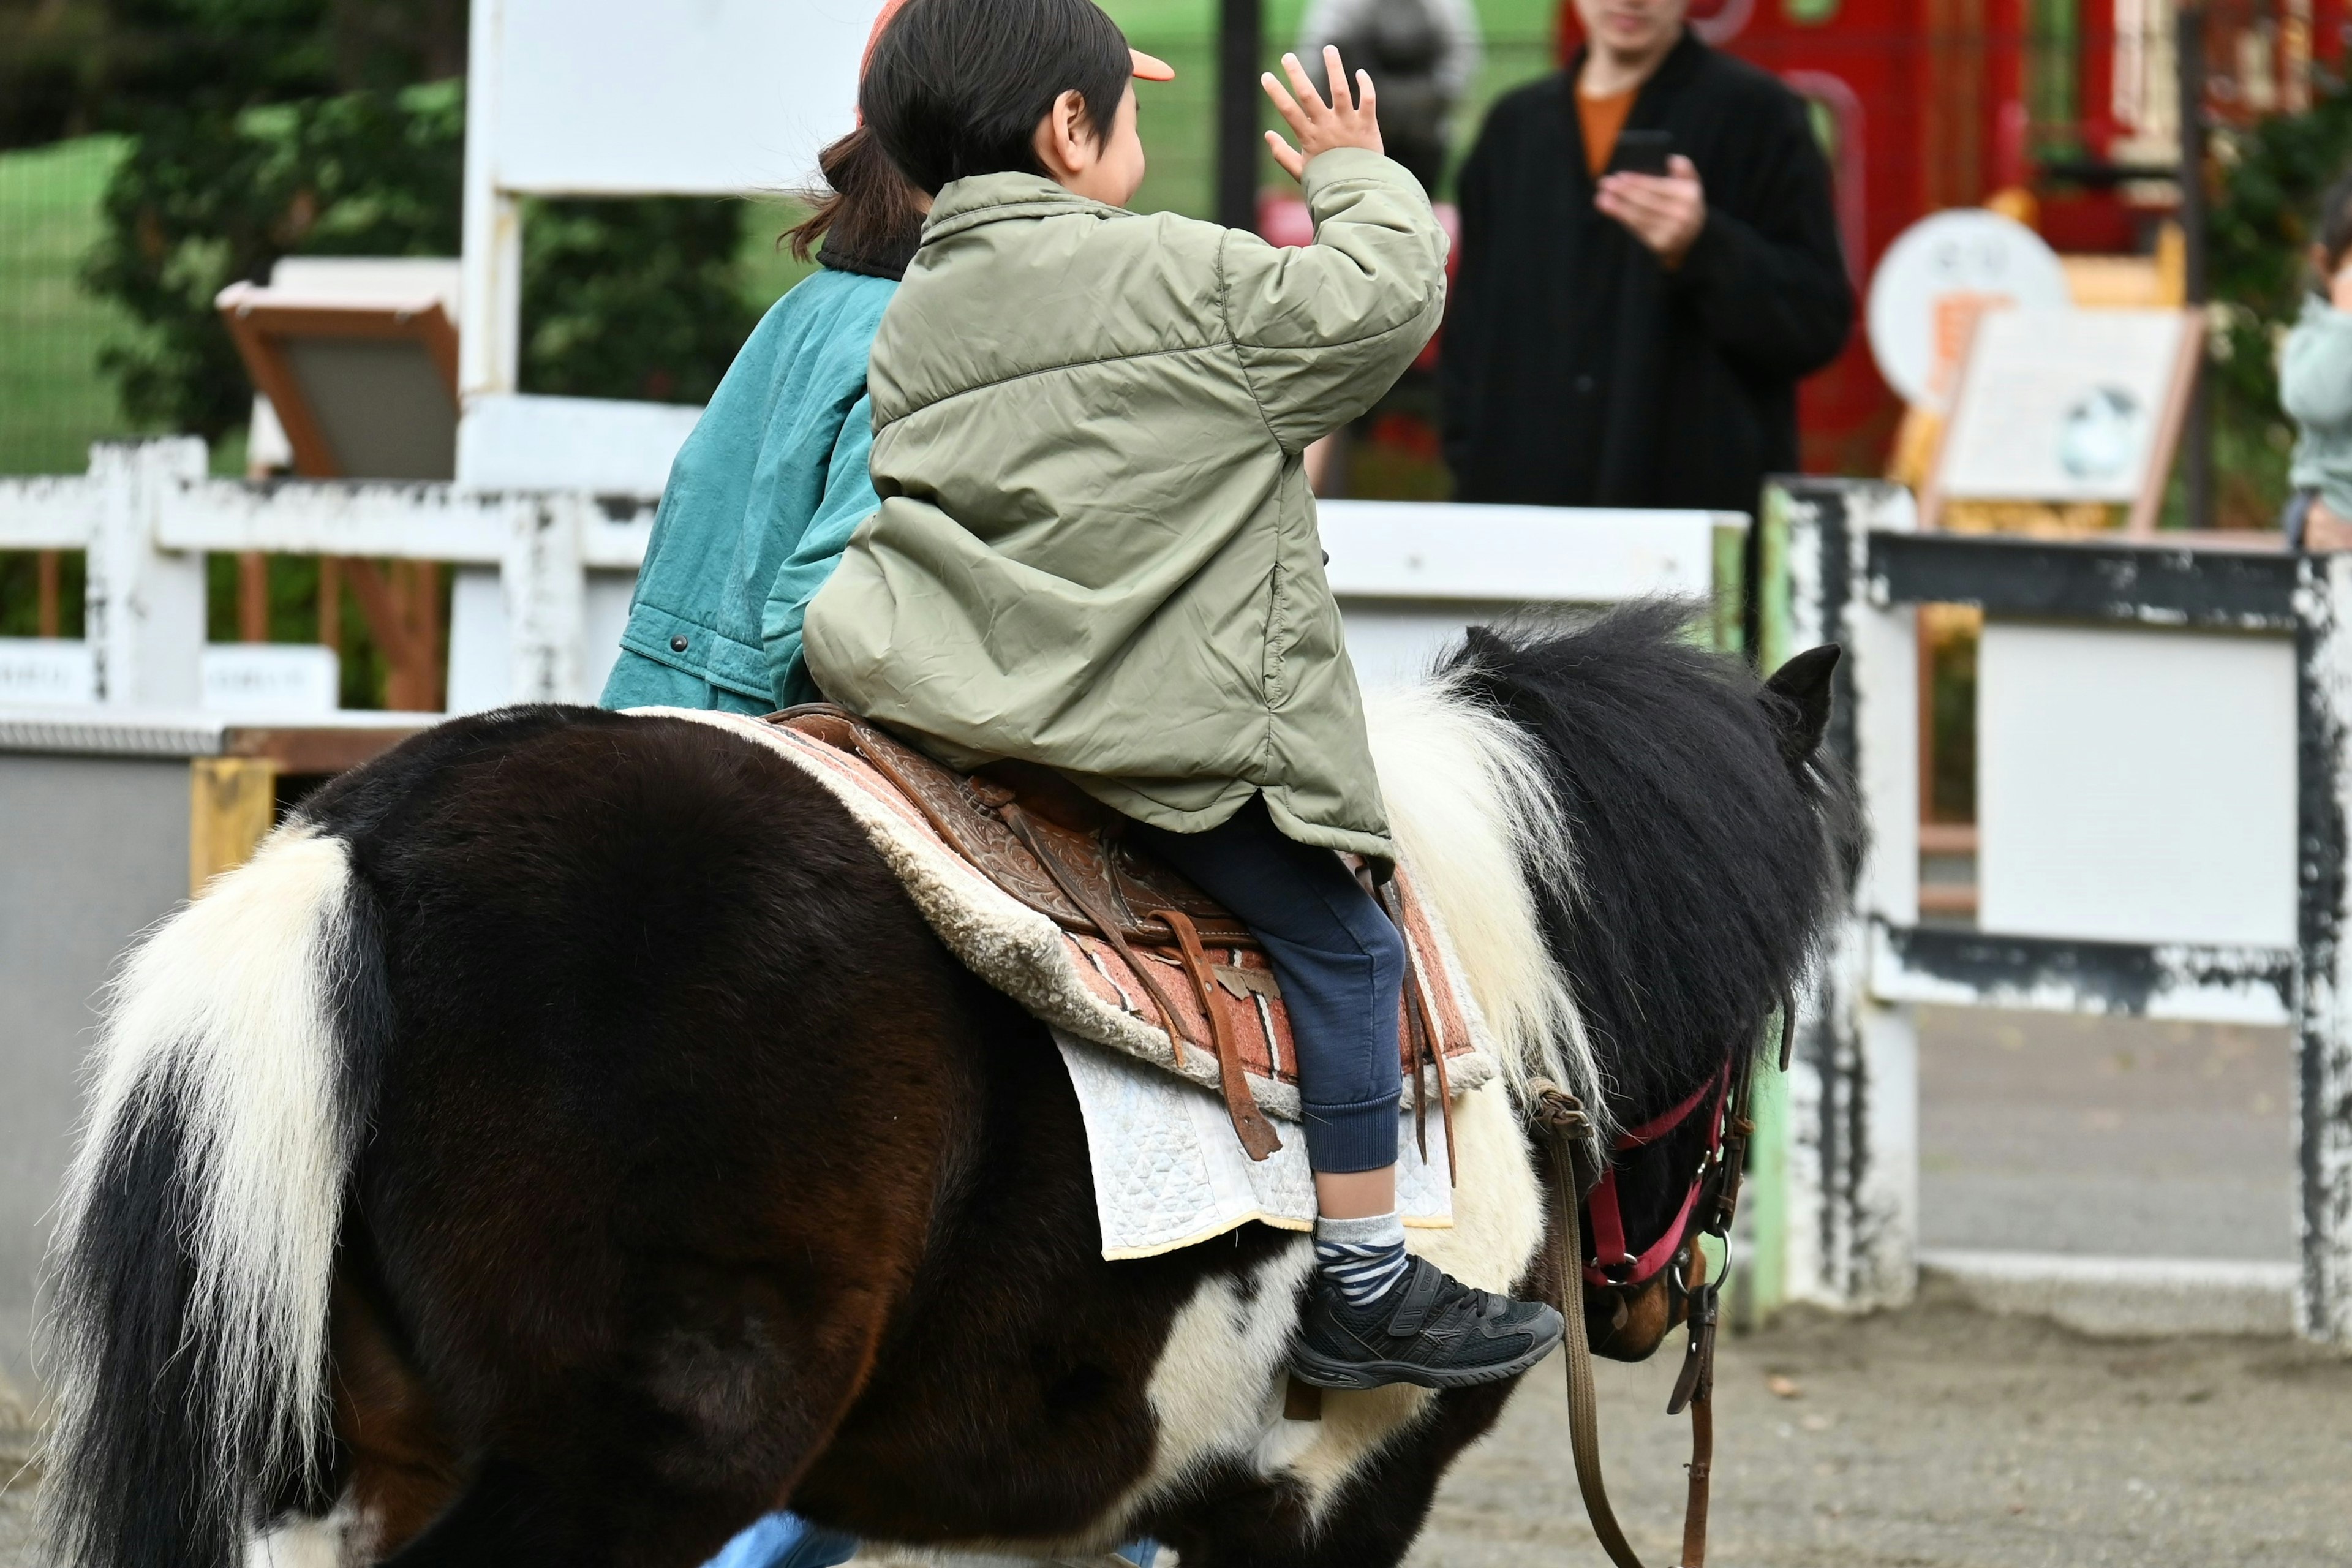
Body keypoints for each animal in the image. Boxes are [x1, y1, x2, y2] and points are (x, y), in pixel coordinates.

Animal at [37, 601, 1853, 1568]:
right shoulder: (1330, 1499)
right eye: (1763, 1011)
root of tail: (364, 848)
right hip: (627, 1463)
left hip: (340, 1466)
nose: (1653, 1300)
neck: (1484, 958)